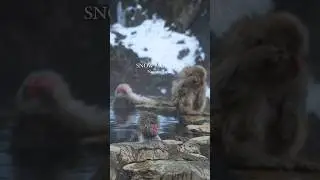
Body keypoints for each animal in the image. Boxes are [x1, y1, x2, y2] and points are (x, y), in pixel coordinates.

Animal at [212, 11, 320, 170]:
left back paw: (287, 158)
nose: (289, 59)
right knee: (255, 98)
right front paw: (257, 55)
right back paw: (251, 157)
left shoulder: (299, 69)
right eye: (282, 49)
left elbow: (295, 96)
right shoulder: (236, 45)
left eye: (291, 51)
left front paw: (288, 119)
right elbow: (222, 89)